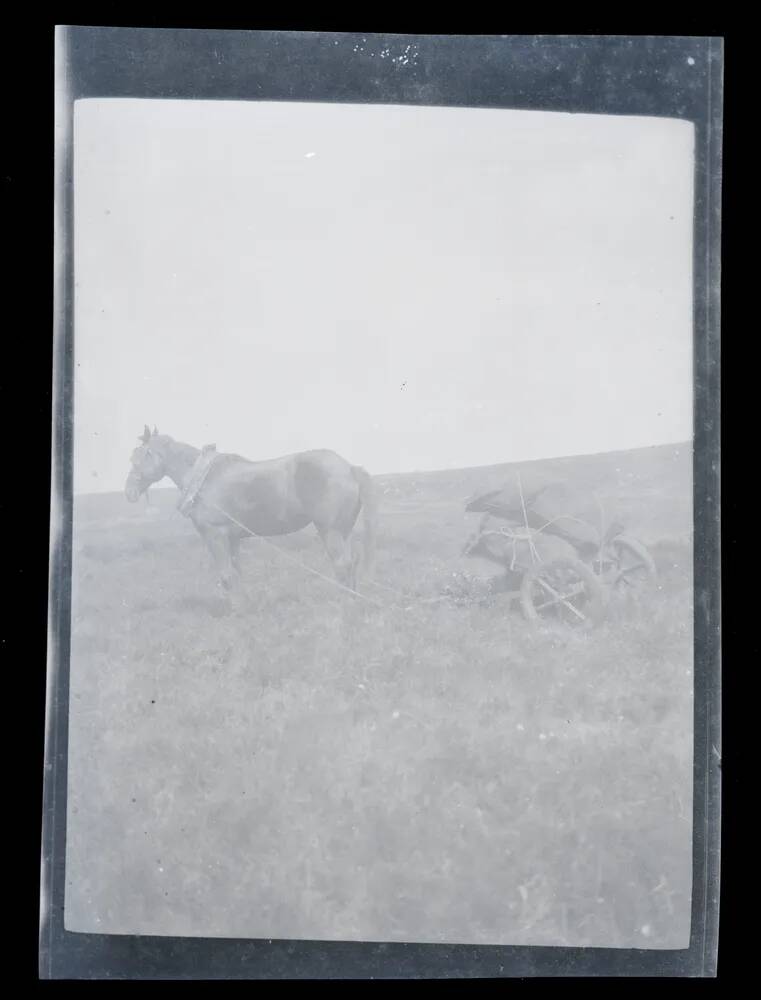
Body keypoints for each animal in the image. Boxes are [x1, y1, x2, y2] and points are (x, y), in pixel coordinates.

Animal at [122, 424, 380, 600]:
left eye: (141, 456)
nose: (128, 492)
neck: (202, 478)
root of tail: (349, 467)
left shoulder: (215, 535)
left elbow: (226, 576)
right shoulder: (232, 538)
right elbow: (238, 573)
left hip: (330, 531)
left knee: (342, 565)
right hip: (344, 532)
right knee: (351, 564)